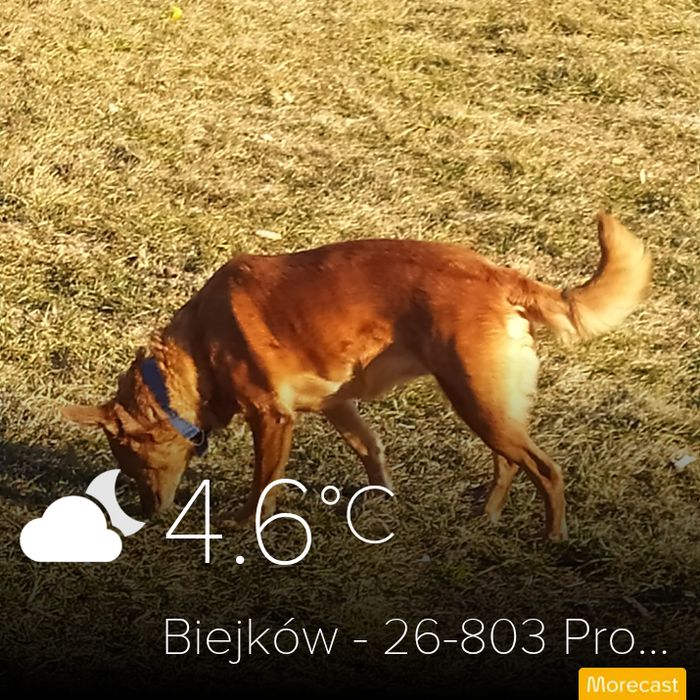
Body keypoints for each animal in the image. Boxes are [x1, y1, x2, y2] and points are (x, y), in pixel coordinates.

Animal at [62, 212, 651, 540]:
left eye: (133, 466)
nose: (143, 516)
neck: (199, 348)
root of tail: (499, 275)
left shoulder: (273, 418)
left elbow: (263, 483)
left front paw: (251, 527)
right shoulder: (338, 406)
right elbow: (372, 451)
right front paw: (380, 502)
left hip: (478, 400)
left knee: (546, 470)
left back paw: (553, 537)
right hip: (486, 405)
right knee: (508, 464)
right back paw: (485, 519)